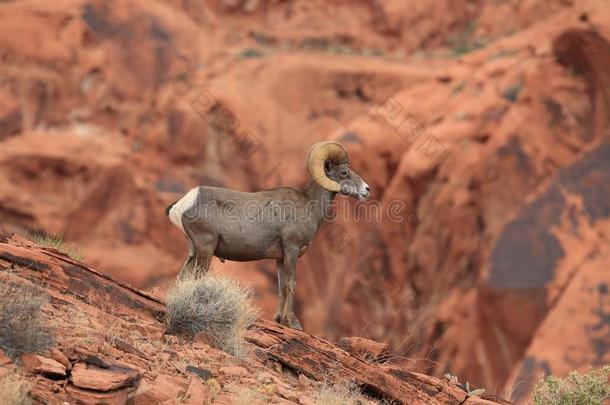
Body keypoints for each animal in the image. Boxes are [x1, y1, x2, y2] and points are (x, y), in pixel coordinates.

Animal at [164, 141, 368, 328]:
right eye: (344, 172)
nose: (367, 190)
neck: (309, 205)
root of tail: (184, 203)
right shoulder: (291, 250)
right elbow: (291, 284)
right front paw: (292, 322)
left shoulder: (280, 258)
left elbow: (282, 286)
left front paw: (279, 319)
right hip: (205, 249)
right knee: (195, 278)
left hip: (193, 251)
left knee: (183, 277)